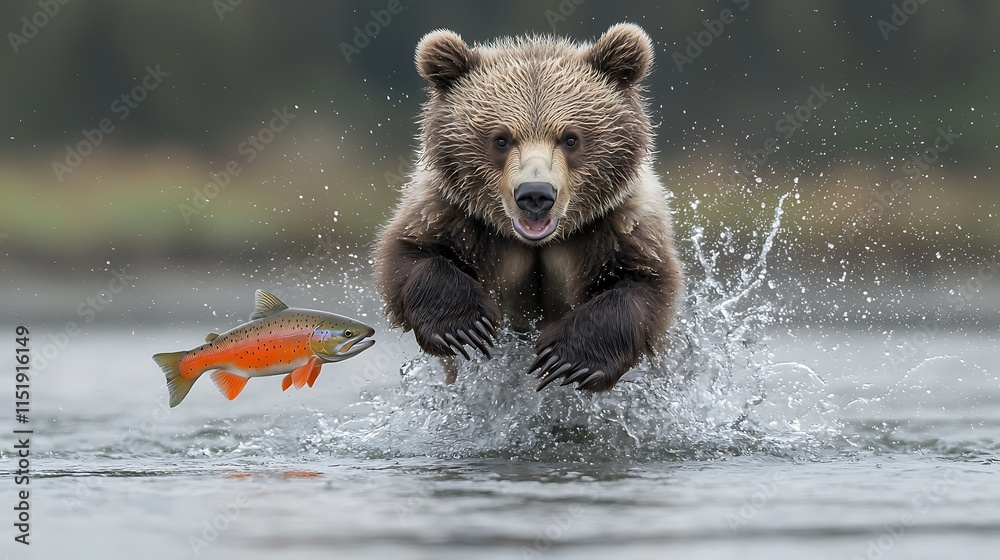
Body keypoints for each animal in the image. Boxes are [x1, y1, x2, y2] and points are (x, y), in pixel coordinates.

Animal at [374, 23, 684, 391]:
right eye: (501, 139)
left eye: (571, 138)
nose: (535, 194)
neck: (537, 243)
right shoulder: (452, 213)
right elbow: (410, 254)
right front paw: (464, 327)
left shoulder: (619, 224)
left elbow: (643, 283)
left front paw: (568, 359)